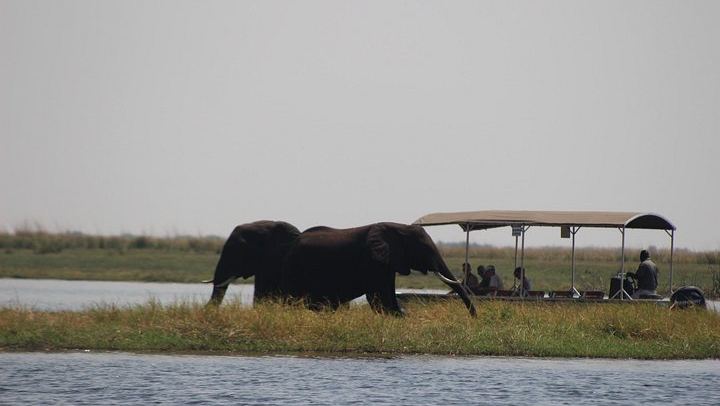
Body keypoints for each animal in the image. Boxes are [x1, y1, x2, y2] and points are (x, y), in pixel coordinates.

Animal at [280, 222, 477, 316]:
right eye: (423, 248)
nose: (473, 319)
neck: (398, 228)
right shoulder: (373, 261)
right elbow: (379, 296)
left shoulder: (387, 262)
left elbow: (387, 293)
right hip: (295, 267)